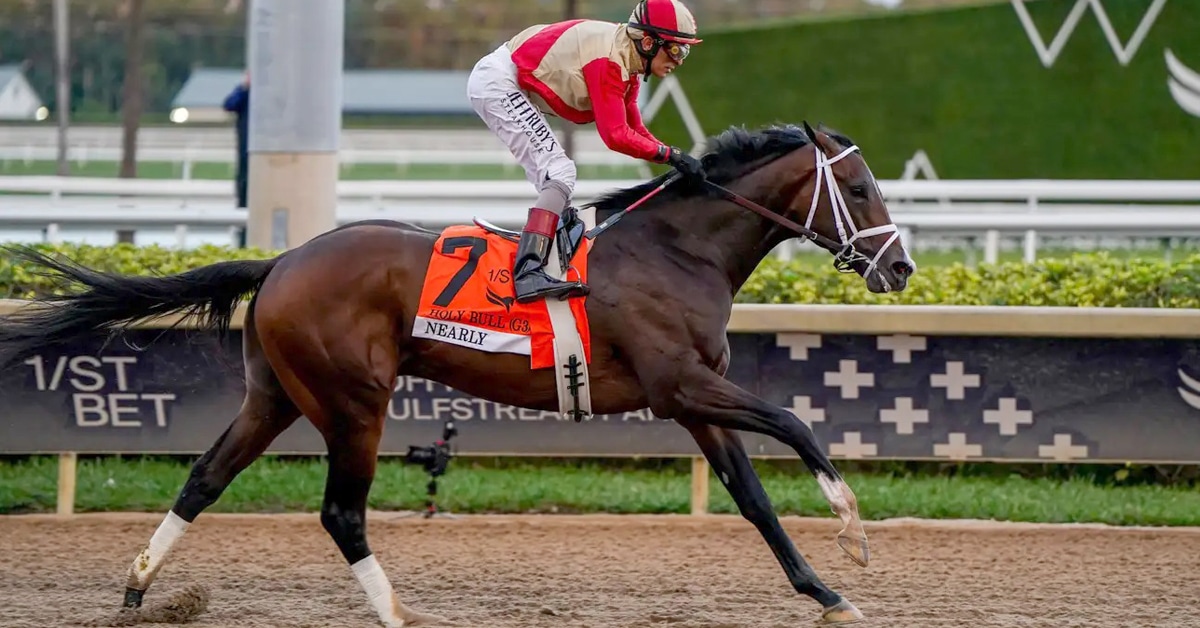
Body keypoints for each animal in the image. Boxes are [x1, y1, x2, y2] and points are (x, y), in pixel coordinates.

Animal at [0, 121, 915, 626]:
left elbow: (753, 499)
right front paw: (854, 530)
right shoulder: (679, 386)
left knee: (203, 478)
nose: (901, 267)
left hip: (275, 397)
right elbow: (796, 422)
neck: (676, 251)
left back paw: (136, 593)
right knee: (341, 513)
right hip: (353, 401)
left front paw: (827, 593)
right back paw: (399, 613)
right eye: (860, 188)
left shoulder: (695, 402)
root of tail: (282, 260)